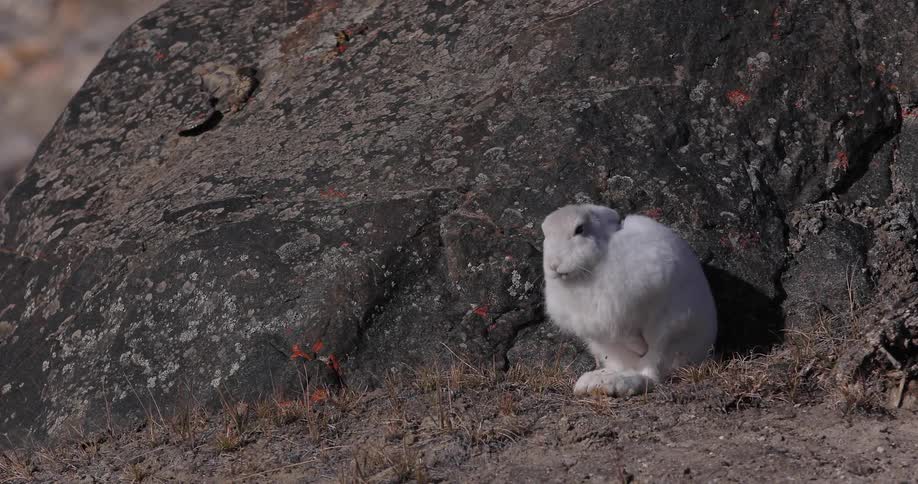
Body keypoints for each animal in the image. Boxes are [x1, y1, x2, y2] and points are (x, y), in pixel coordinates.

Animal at [541, 204, 717, 396]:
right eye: (545, 234)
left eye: (579, 229)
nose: (554, 265)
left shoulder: (633, 309)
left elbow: (634, 338)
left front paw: (641, 349)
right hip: (605, 347)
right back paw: (598, 381)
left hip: (668, 334)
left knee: (652, 371)